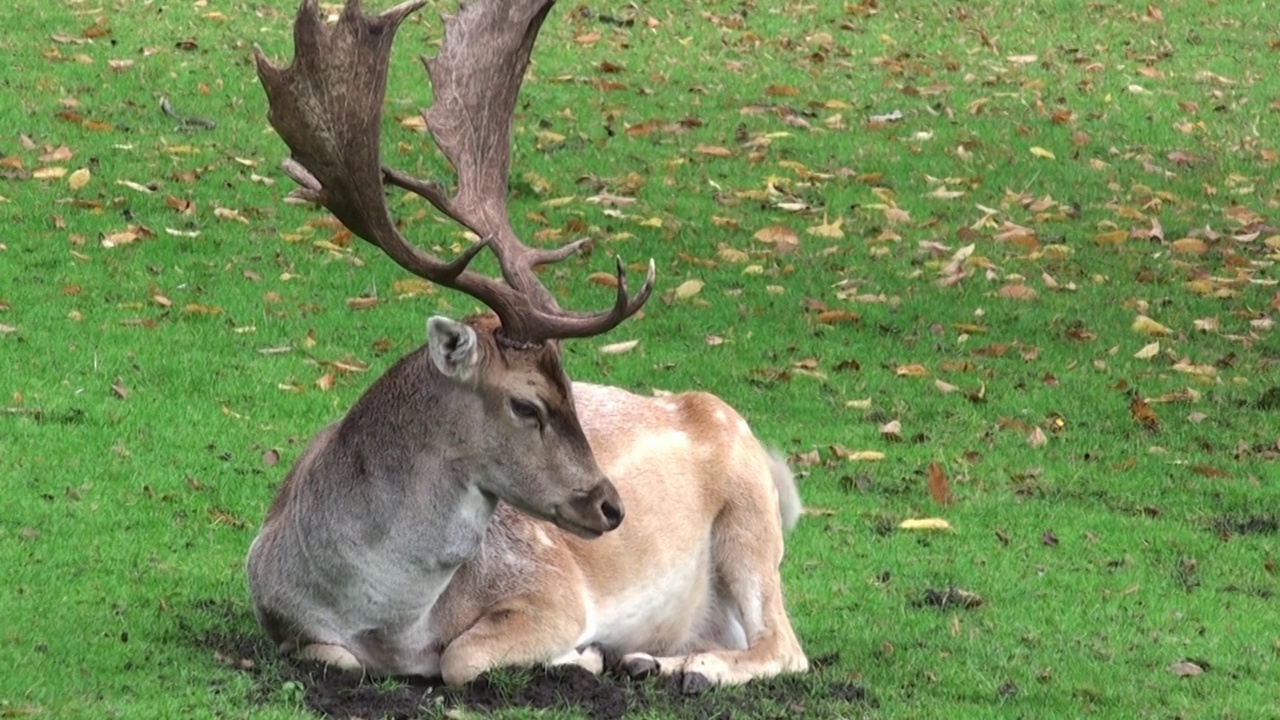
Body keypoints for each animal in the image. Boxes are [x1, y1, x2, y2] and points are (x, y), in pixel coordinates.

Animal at [244, 0, 803, 691]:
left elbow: (460, 658)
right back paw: (650, 658)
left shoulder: (551, 585)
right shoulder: (280, 616)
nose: (610, 506)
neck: (388, 623)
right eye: (527, 403)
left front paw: (581, 653)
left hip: (750, 523)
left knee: (785, 644)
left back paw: (688, 667)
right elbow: (340, 657)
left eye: (571, 389)